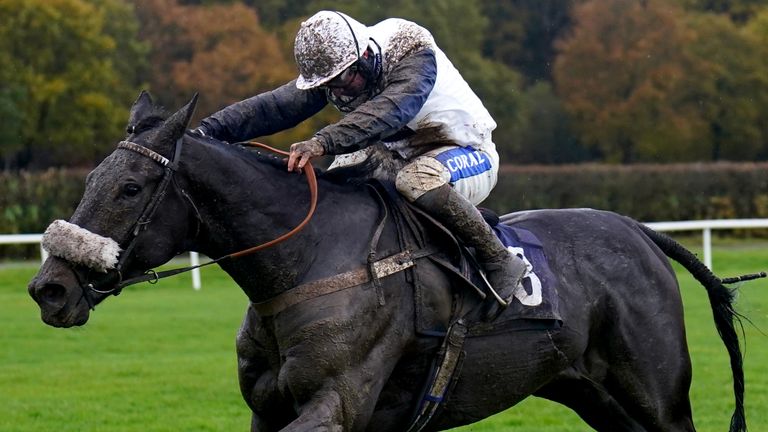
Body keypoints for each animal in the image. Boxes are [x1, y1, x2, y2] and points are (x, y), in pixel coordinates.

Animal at [27, 92, 748, 432]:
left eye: (129, 188)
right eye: (90, 178)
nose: (48, 289)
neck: (307, 263)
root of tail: (638, 231)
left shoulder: (337, 404)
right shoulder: (268, 410)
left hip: (657, 397)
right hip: (594, 394)